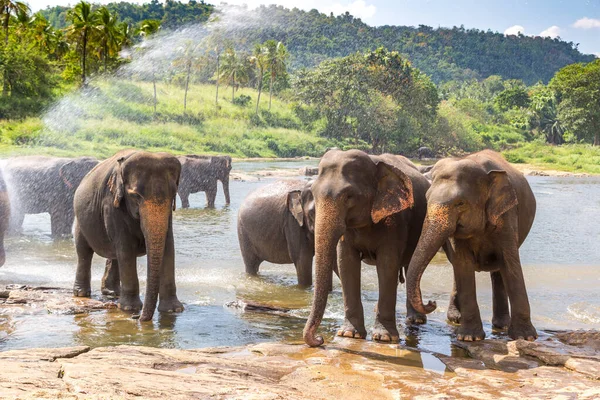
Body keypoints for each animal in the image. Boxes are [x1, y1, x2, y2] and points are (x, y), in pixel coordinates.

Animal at [72, 150, 183, 322]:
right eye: (136, 196)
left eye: (173, 194)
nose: (138, 318)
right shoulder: (111, 204)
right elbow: (126, 248)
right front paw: (128, 308)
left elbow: (169, 246)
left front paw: (173, 310)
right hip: (80, 221)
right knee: (84, 252)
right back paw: (81, 293)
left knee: (114, 255)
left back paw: (112, 293)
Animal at [302, 150, 428, 346]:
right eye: (313, 193)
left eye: (349, 196)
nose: (319, 339)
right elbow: (346, 263)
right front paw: (349, 334)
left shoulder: (395, 221)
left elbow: (387, 264)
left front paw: (384, 338)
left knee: (409, 267)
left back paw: (415, 320)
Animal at [406, 149, 536, 340]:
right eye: (426, 199)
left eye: (460, 203)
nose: (432, 302)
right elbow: (463, 264)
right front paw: (470, 337)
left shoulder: (507, 215)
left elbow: (510, 263)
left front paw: (525, 337)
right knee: (458, 269)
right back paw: (456, 319)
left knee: (499, 271)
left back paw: (502, 325)